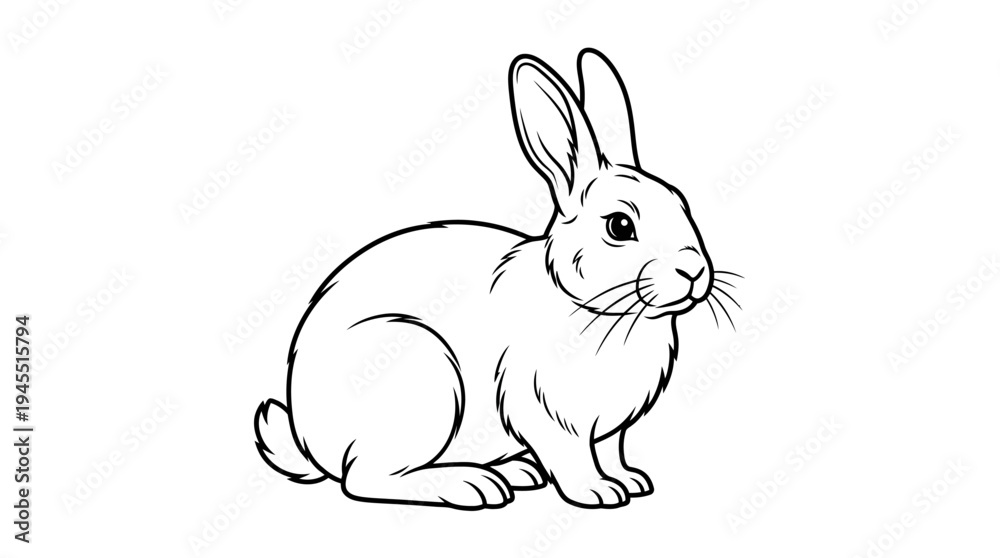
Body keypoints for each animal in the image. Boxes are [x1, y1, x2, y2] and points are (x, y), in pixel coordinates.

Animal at [254, 48, 732, 509]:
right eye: (619, 226)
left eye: (682, 204)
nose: (693, 270)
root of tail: (309, 438)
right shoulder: (546, 412)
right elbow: (573, 458)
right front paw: (598, 492)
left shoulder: (610, 428)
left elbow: (611, 450)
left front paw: (631, 480)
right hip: (425, 382)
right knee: (366, 479)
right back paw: (473, 485)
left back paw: (517, 472)